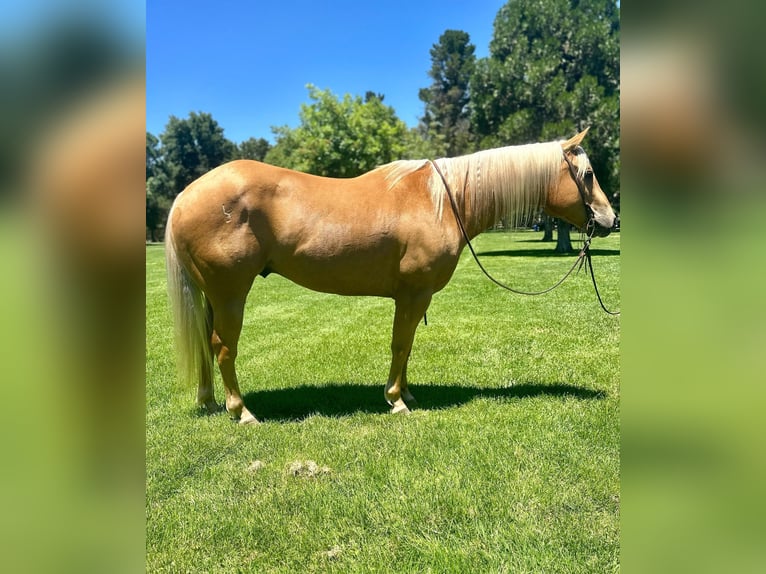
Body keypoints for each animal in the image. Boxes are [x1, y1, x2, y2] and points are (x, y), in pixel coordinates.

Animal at [166, 132, 616, 428]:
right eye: (588, 174)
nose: (611, 220)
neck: (442, 201)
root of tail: (187, 194)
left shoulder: (415, 297)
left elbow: (409, 345)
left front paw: (407, 392)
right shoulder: (413, 294)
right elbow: (400, 345)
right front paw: (397, 401)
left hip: (213, 296)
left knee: (207, 346)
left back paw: (210, 402)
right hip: (230, 295)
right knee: (223, 348)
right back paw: (241, 411)